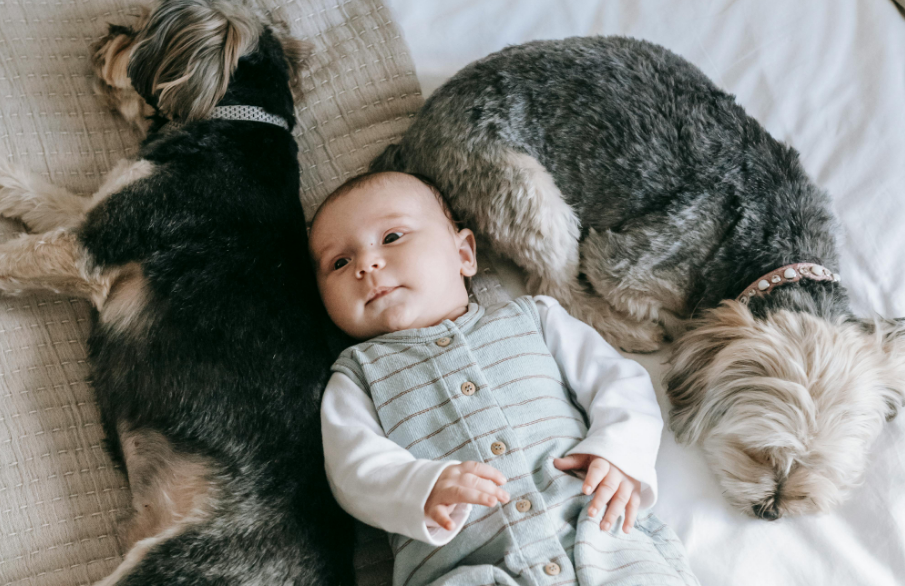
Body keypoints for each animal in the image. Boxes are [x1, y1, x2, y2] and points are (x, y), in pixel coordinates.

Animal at [0, 2, 354, 580]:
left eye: (144, 24)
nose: (109, 33)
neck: (233, 123)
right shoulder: (97, 213)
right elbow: (45, 197)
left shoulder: (90, 247)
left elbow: (16, 254)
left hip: (171, 565)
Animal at [370, 36, 904, 516]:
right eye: (761, 453)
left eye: (824, 463)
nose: (772, 509)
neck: (777, 252)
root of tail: (415, 136)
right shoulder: (615, 261)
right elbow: (639, 295)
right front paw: (671, 326)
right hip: (526, 191)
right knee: (559, 290)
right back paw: (635, 332)